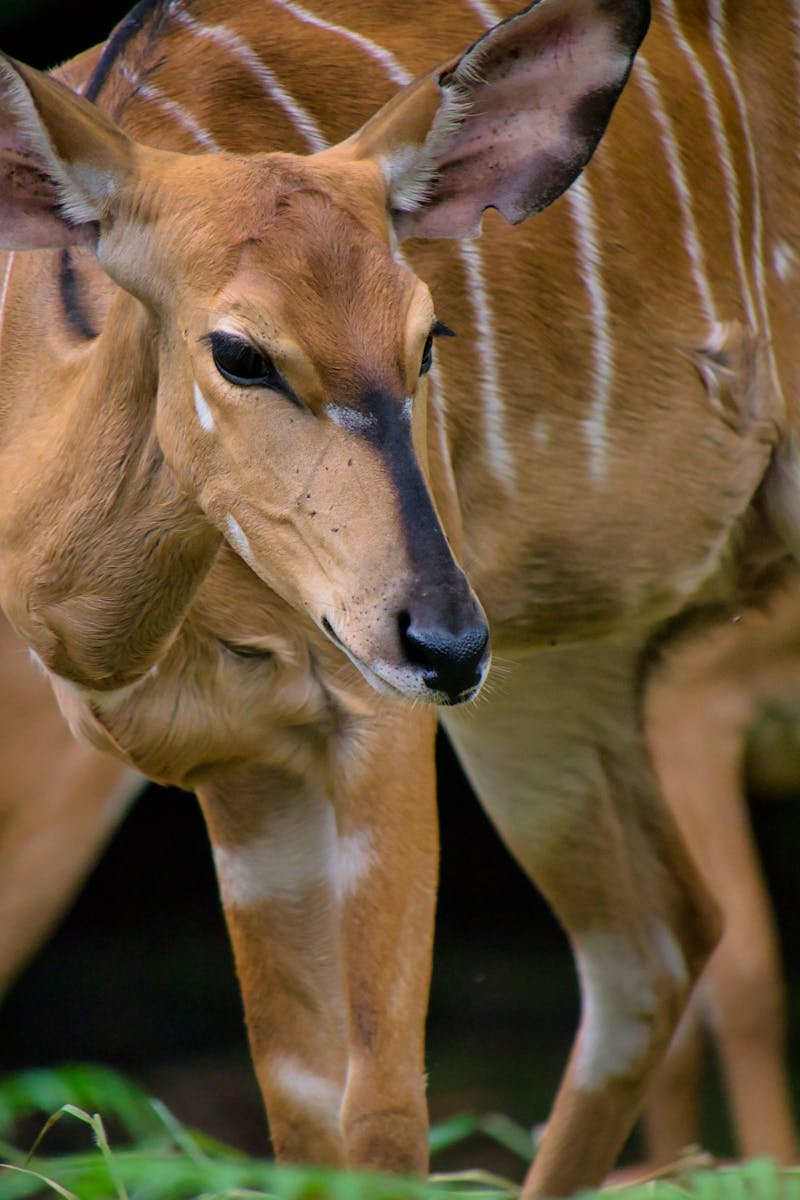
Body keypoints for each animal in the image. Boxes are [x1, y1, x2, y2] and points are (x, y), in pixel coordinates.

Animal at [0, 0, 796, 1192]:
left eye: (430, 337)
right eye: (239, 351)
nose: (447, 641)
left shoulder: (372, 719)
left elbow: (382, 1113)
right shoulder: (240, 766)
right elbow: (299, 1116)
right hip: (556, 678)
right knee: (655, 947)